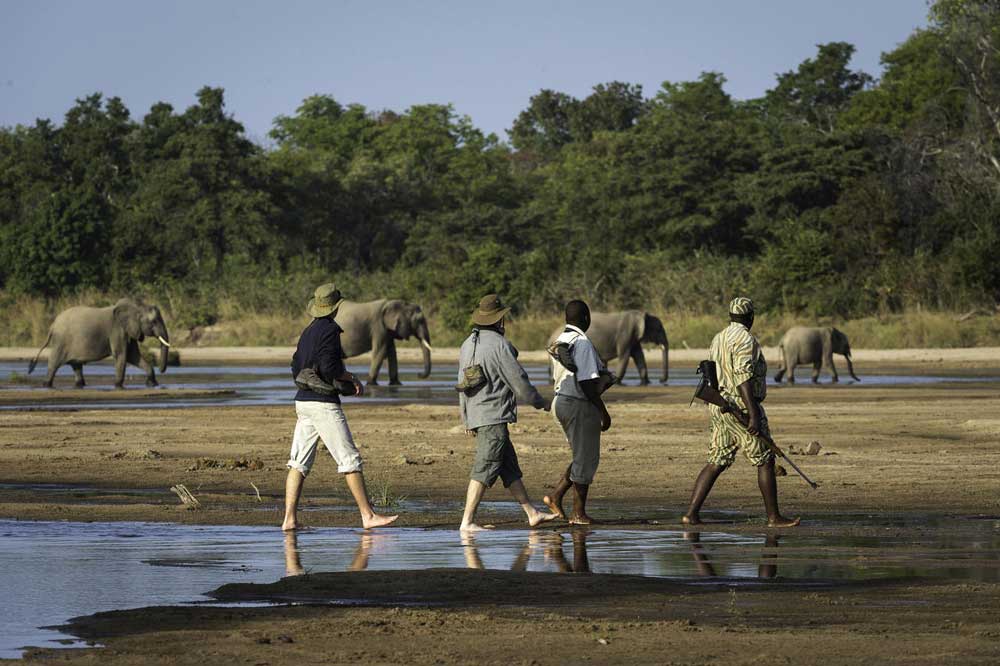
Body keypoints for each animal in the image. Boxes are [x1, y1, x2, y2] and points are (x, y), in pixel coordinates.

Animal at [27, 296, 172, 386]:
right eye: (153, 322)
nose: (162, 370)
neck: (136, 306)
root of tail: (52, 325)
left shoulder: (129, 331)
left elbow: (134, 356)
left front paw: (152, 384)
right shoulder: (117, 330)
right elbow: (122, 355)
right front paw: (118, 385)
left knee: (76, 365)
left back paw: (80, 384)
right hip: (61, 341)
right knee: (54, 363)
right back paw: (46, 384)